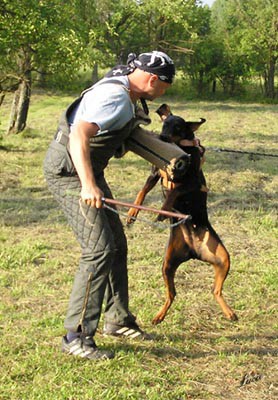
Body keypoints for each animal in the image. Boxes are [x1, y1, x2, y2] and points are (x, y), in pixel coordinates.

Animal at [127, 106, 238, 324]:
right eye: (164, 123)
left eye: (178, 127)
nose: (162, 136)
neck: (179, 148)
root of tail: (194, 252)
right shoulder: (155, 173)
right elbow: (142, 192)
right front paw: (132, 213)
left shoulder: (195, 182)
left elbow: (175, 191)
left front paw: (164, 208)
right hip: (168, 264)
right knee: (173, 294)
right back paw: (159, 316)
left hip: (223, 258)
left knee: (216, 290)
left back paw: (229, 312)